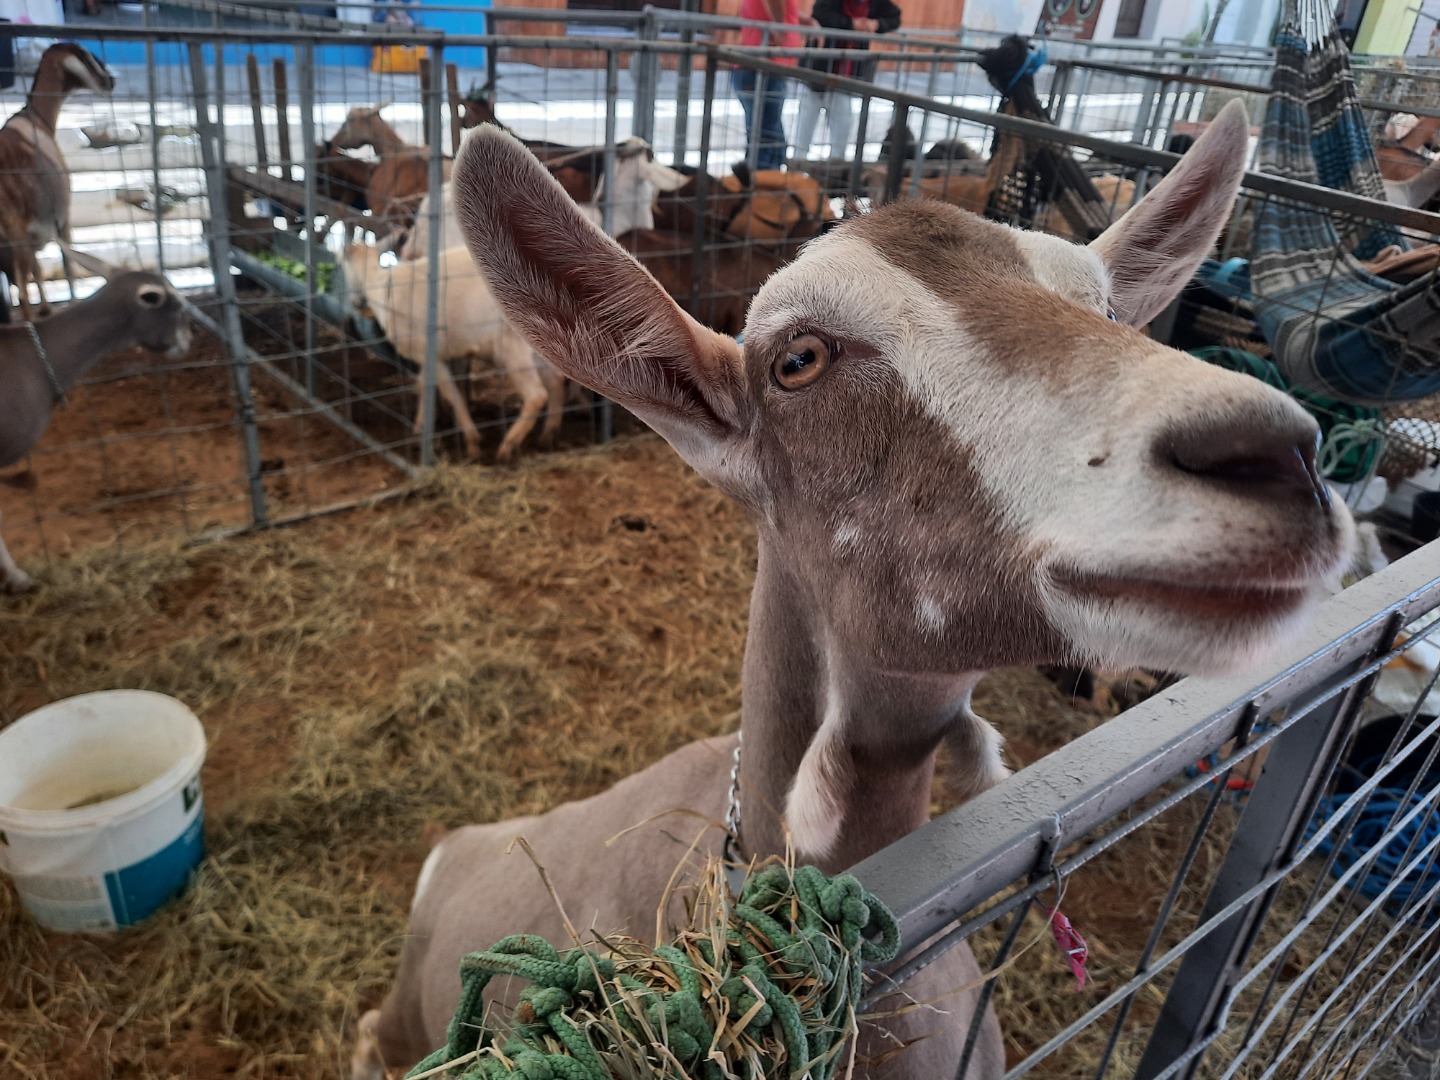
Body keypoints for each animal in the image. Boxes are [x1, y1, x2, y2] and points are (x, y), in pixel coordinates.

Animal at [0, 43, 114, 321]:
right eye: (88, 56)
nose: (110, 81)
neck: (37, 119)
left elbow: (38, 270)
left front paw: (46, 309)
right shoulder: (61, 218)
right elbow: (68, 266)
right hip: (15, 230)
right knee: (22, 290)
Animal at [341, 243, 564, 463]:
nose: (356, 305)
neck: (380, 286)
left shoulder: (430, 354)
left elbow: (450, 393)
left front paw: (472, 442)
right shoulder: (427, 356)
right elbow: (423, 387)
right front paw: (419, 430)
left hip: (512, 348)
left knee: (536, 395)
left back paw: (507, 448)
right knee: (554, 383)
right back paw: (547, 436)